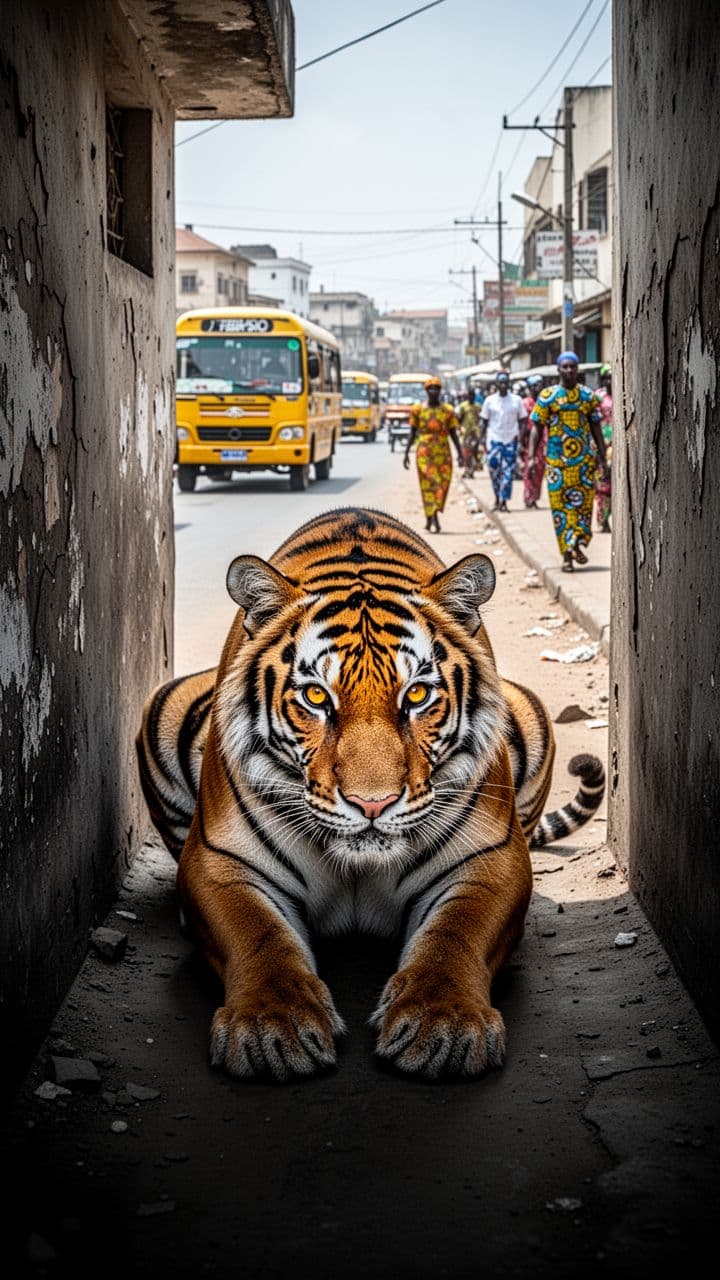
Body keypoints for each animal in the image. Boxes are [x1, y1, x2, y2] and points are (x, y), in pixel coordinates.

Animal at [137, 507, 604, 1083]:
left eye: (417, 694)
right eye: (317, 697)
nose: (373, 805)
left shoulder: (491, 858)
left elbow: (454, 935)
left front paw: (442, 1024)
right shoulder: (219, 861)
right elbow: (259, 936)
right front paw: (273, 1026)